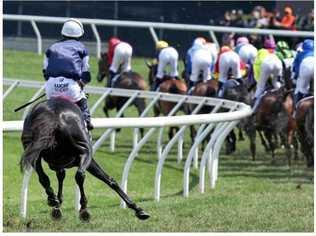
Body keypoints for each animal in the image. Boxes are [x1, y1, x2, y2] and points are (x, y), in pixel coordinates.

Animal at [20, 96, 151, 221]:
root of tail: (53, 114)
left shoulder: (59, 163)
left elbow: (60, 176)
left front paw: (57, 203)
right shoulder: (87, 159)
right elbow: (109, 180)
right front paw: (137, 209)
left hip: (33, 153)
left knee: (44, 177)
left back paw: (55, 199)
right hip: (85, 151)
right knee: (79, 175)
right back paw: (83, 208)